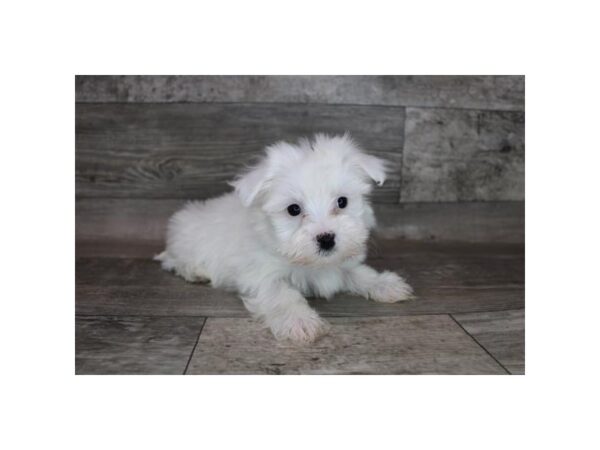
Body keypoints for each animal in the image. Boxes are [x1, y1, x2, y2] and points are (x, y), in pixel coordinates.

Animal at [157, 132, 414, 342]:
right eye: (293, 209)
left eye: (342, 202)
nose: (327, 239)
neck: (309, 262)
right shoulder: (262, 274)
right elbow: (281, 294)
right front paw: (299, 321)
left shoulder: (340, 261)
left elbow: (359, 273)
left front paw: (384, 284)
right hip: (186, 242)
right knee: (174, 261)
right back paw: (196, 272)